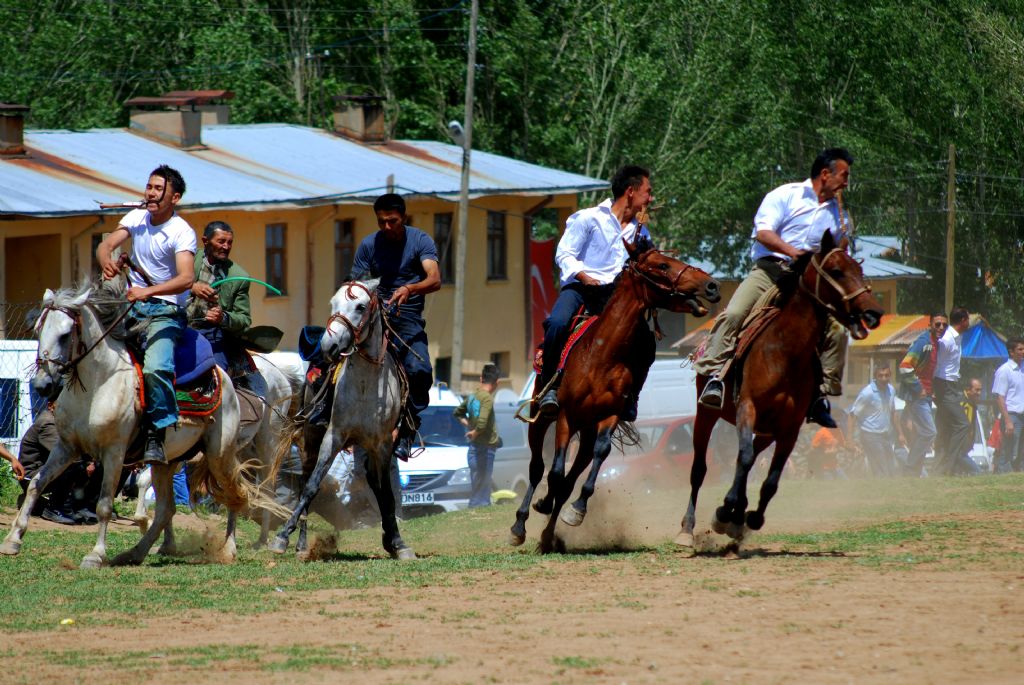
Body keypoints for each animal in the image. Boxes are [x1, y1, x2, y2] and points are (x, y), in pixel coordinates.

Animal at [0, 278, 268, 565]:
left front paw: (96, 555)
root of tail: (223, 376)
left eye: (65, 334)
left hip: (220, 454)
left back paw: (228, 549)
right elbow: (36, 484)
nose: (42, 384)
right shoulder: (66, 447)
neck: (99, 383)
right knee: (166, 509)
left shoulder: (114, 452)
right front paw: (13, 540)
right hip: (168, 461)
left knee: (233, 493)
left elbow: (104, 505)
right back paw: (139, 551)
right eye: (39, 330)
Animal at [272, 278, 419, 561]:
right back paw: (301, 544)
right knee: (305, 482)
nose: (328, 346)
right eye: (333, 303)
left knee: (376, 486)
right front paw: (281, 537)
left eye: (360, 306)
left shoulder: (383, 444)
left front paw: (398, 542)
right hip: (311, 438)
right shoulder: (334, 435)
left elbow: (387, 495)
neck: (365, 384)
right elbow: (312, 487)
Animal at [509, 242, 720, 552]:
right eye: (662, 265)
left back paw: (549, 536)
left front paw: (576, 511)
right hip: (541, 420)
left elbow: (597, 457)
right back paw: (519, 526)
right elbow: (554, 472)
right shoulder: (566, 417)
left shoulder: (609, 416)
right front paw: (542, 505)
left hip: (586, 433)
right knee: (537, 468)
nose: (712, 286)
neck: (602, 354)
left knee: (571, 477)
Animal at [675, 229, 884, 548]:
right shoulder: (747, 409)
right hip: (707, 415)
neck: (785, 351)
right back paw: (688, 528)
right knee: (701, 469)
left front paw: (749, 517)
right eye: (837, 271)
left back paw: (737, 518)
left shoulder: (790, 428)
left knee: (748, 462)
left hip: (767, 431)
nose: (874, 312)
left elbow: (770, 479)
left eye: (859, 271)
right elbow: (743, 458)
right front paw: (726, 511)